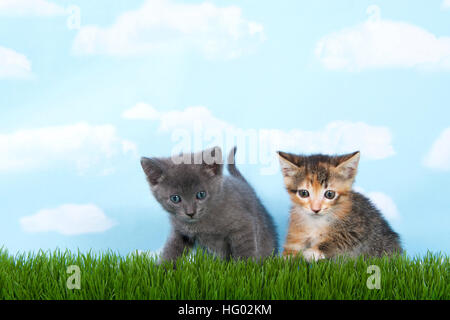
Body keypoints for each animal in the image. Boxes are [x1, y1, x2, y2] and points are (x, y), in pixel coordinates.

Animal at [141, 146, 278, 262]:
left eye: (201, 194)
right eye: (175, 198)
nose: (190, 213)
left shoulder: (244, 225)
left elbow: (245, 252)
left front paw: (244, 269)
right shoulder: (180, 231)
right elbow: (171, 249)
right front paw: (162, 270)